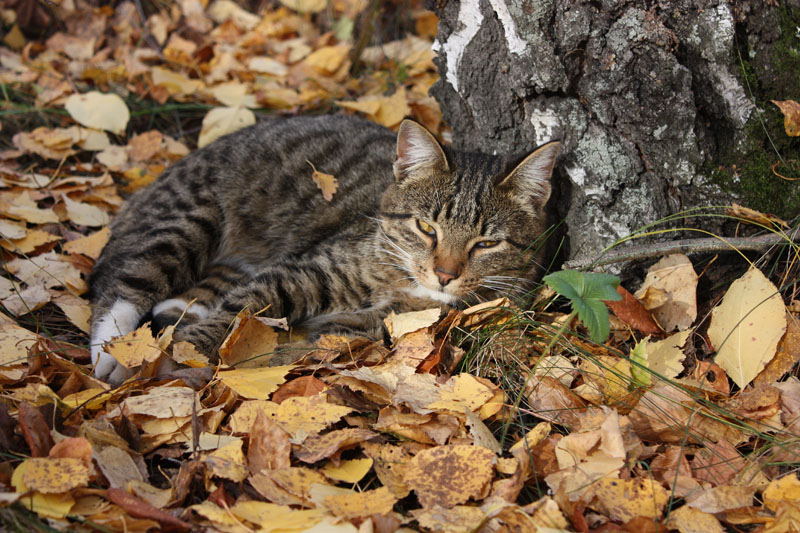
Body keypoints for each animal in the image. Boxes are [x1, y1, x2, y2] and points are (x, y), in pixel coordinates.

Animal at [90, 114, 560, 380]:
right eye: (427, 227)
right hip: (185, 219)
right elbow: (239, 311)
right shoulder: (304, 271)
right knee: (121, 285)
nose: (445, 274)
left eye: (487, 243)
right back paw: (116, 354)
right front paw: (186, 351)